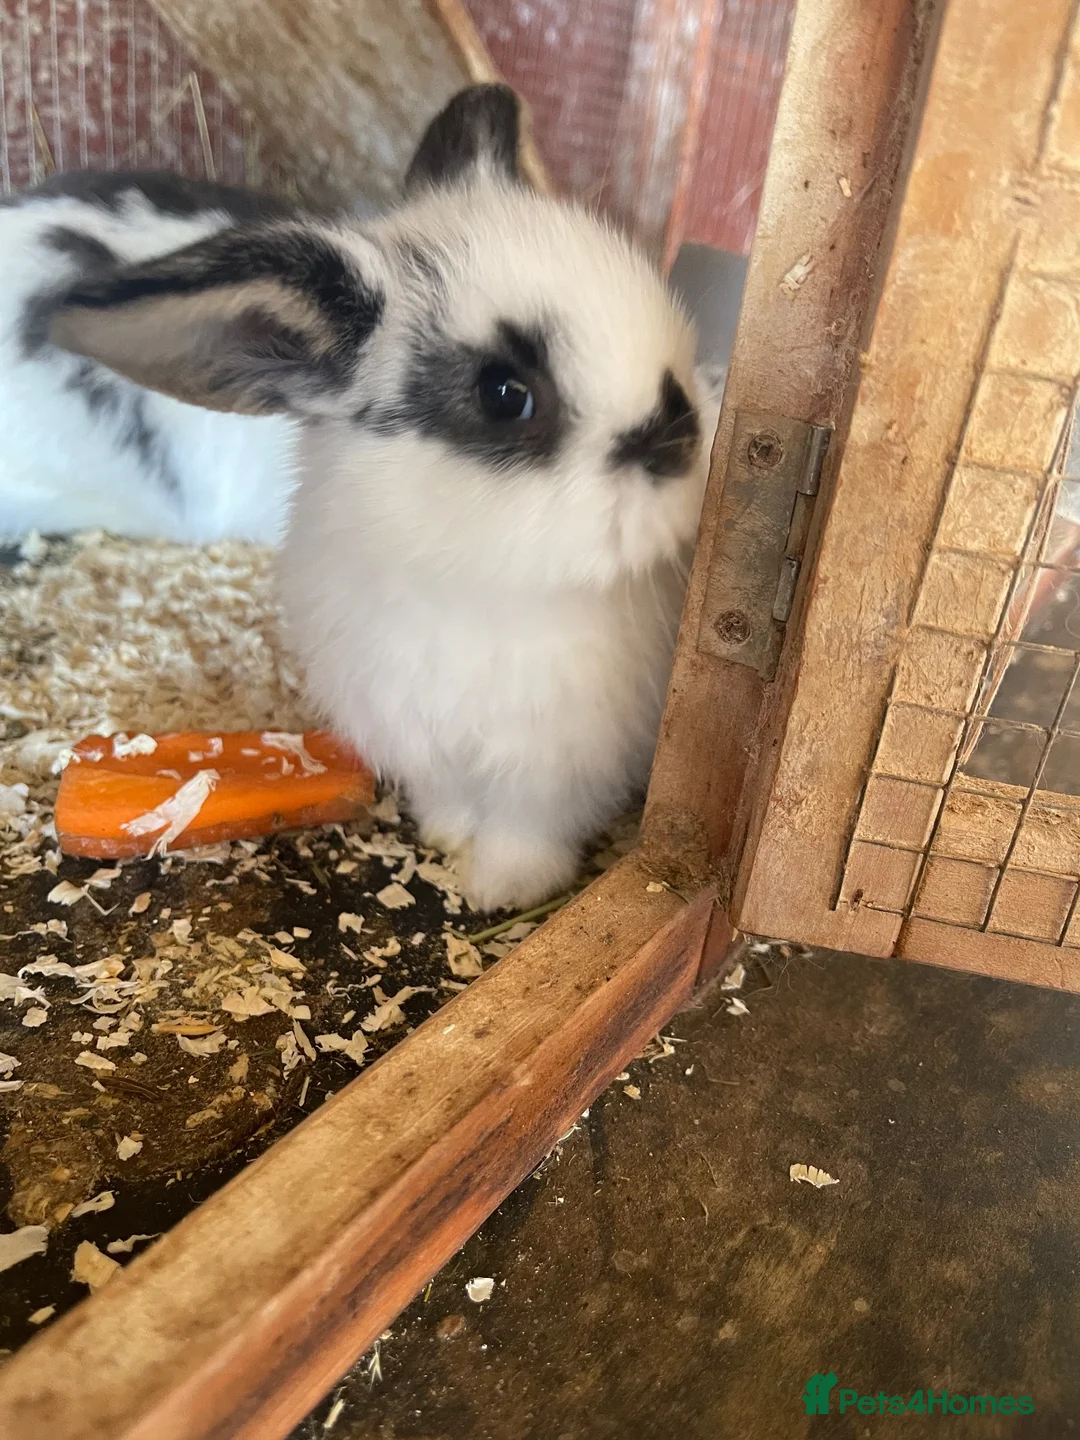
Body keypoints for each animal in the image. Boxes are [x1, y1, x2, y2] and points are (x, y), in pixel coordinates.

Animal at [44, 85, 718, 913]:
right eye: (504, 394)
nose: (680, 445)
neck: (481, 588)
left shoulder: (552, 773)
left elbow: (525, 834)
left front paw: (501, 891)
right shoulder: (421, 740)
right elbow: (455, 804)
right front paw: (451, 844)